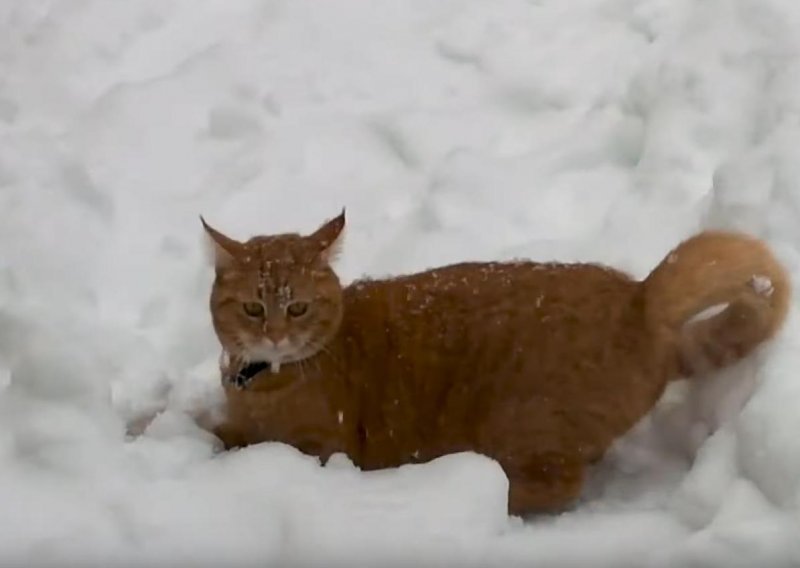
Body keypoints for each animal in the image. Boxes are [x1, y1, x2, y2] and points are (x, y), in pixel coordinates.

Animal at [202, 212, 792, 516]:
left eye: (298, 307)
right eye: (253, 308)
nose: (276, 335)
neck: (258, 381)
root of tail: (640, 297)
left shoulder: (319, 446)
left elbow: (232, 442)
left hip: (521, 421)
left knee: (554, 483)